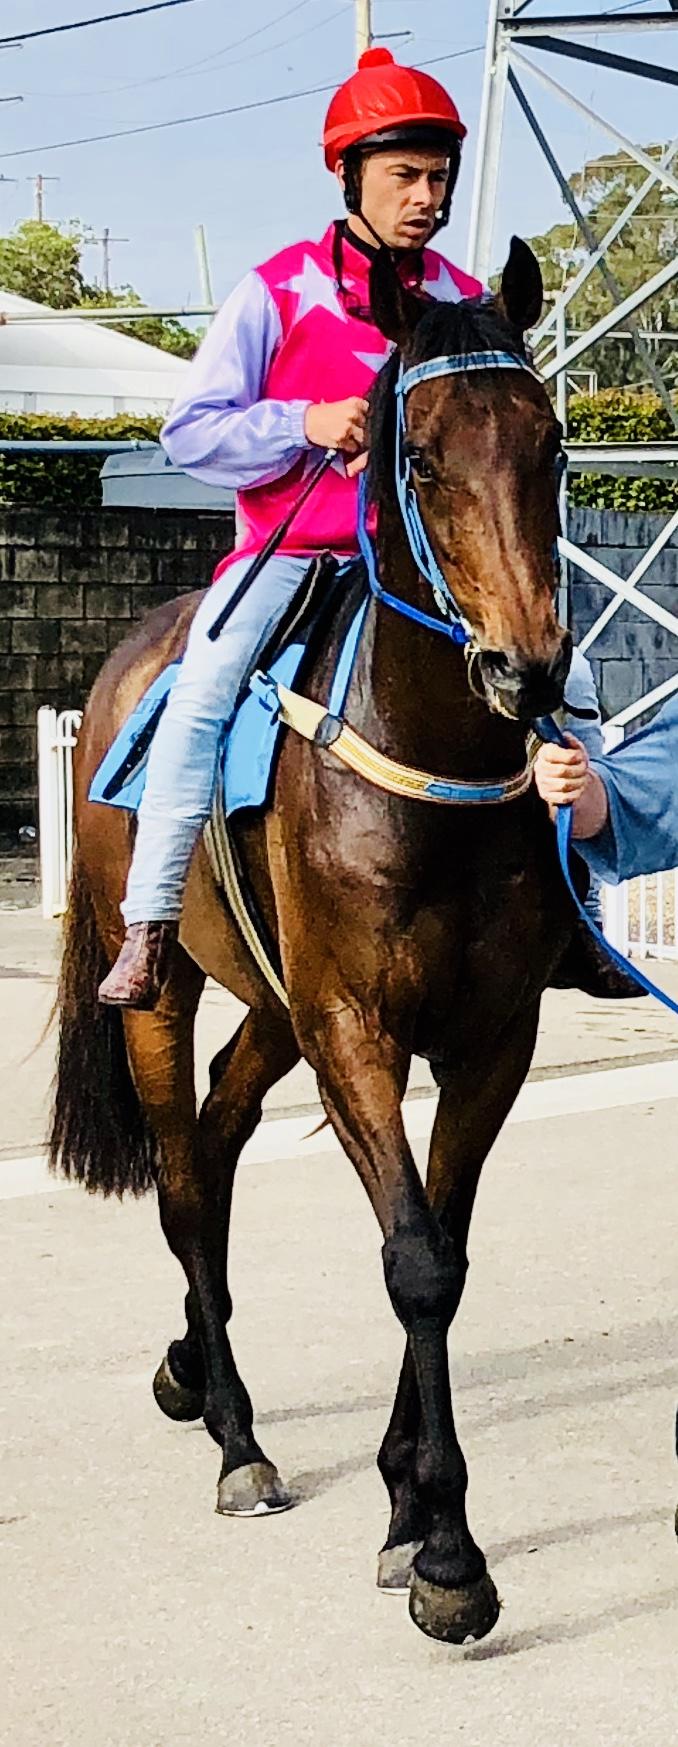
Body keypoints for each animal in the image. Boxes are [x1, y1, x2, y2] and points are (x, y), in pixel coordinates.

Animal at [50, 238, 577, 1646]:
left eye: (554, 444)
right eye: (420, 457)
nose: (528, 671)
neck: (431, 776)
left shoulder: (490, 1040)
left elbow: (444, 1245)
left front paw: (405, 1502)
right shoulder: (357, 1030)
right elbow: (415, 1262)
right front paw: (449, 1553)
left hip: (274, 1007)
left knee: (223, 1137)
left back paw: (192, 1362)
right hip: (169, 992)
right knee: (184, 1178)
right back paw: (234, 1433)